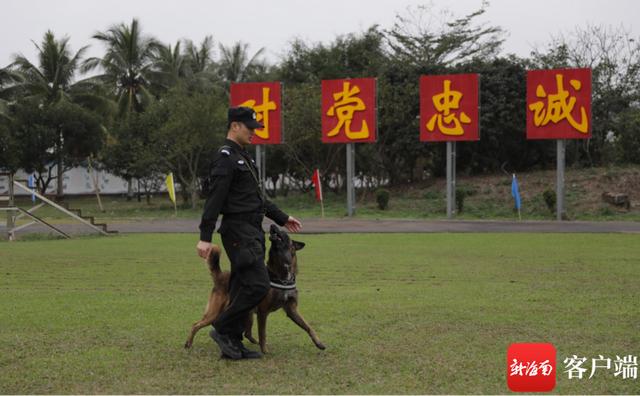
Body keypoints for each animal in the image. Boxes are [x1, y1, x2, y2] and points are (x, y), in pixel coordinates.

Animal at [184, 224, 324, 354]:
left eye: (283, 231)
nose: (272, 225)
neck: (282, 275)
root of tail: (221, 276)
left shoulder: (292, 310)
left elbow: (308, 327)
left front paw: (319, 343)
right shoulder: (263, 312)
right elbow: (263, 333)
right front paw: (265, 351)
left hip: (246, 313)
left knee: (247, 333)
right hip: (216, 313)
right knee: (196, 324)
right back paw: (188, 344)